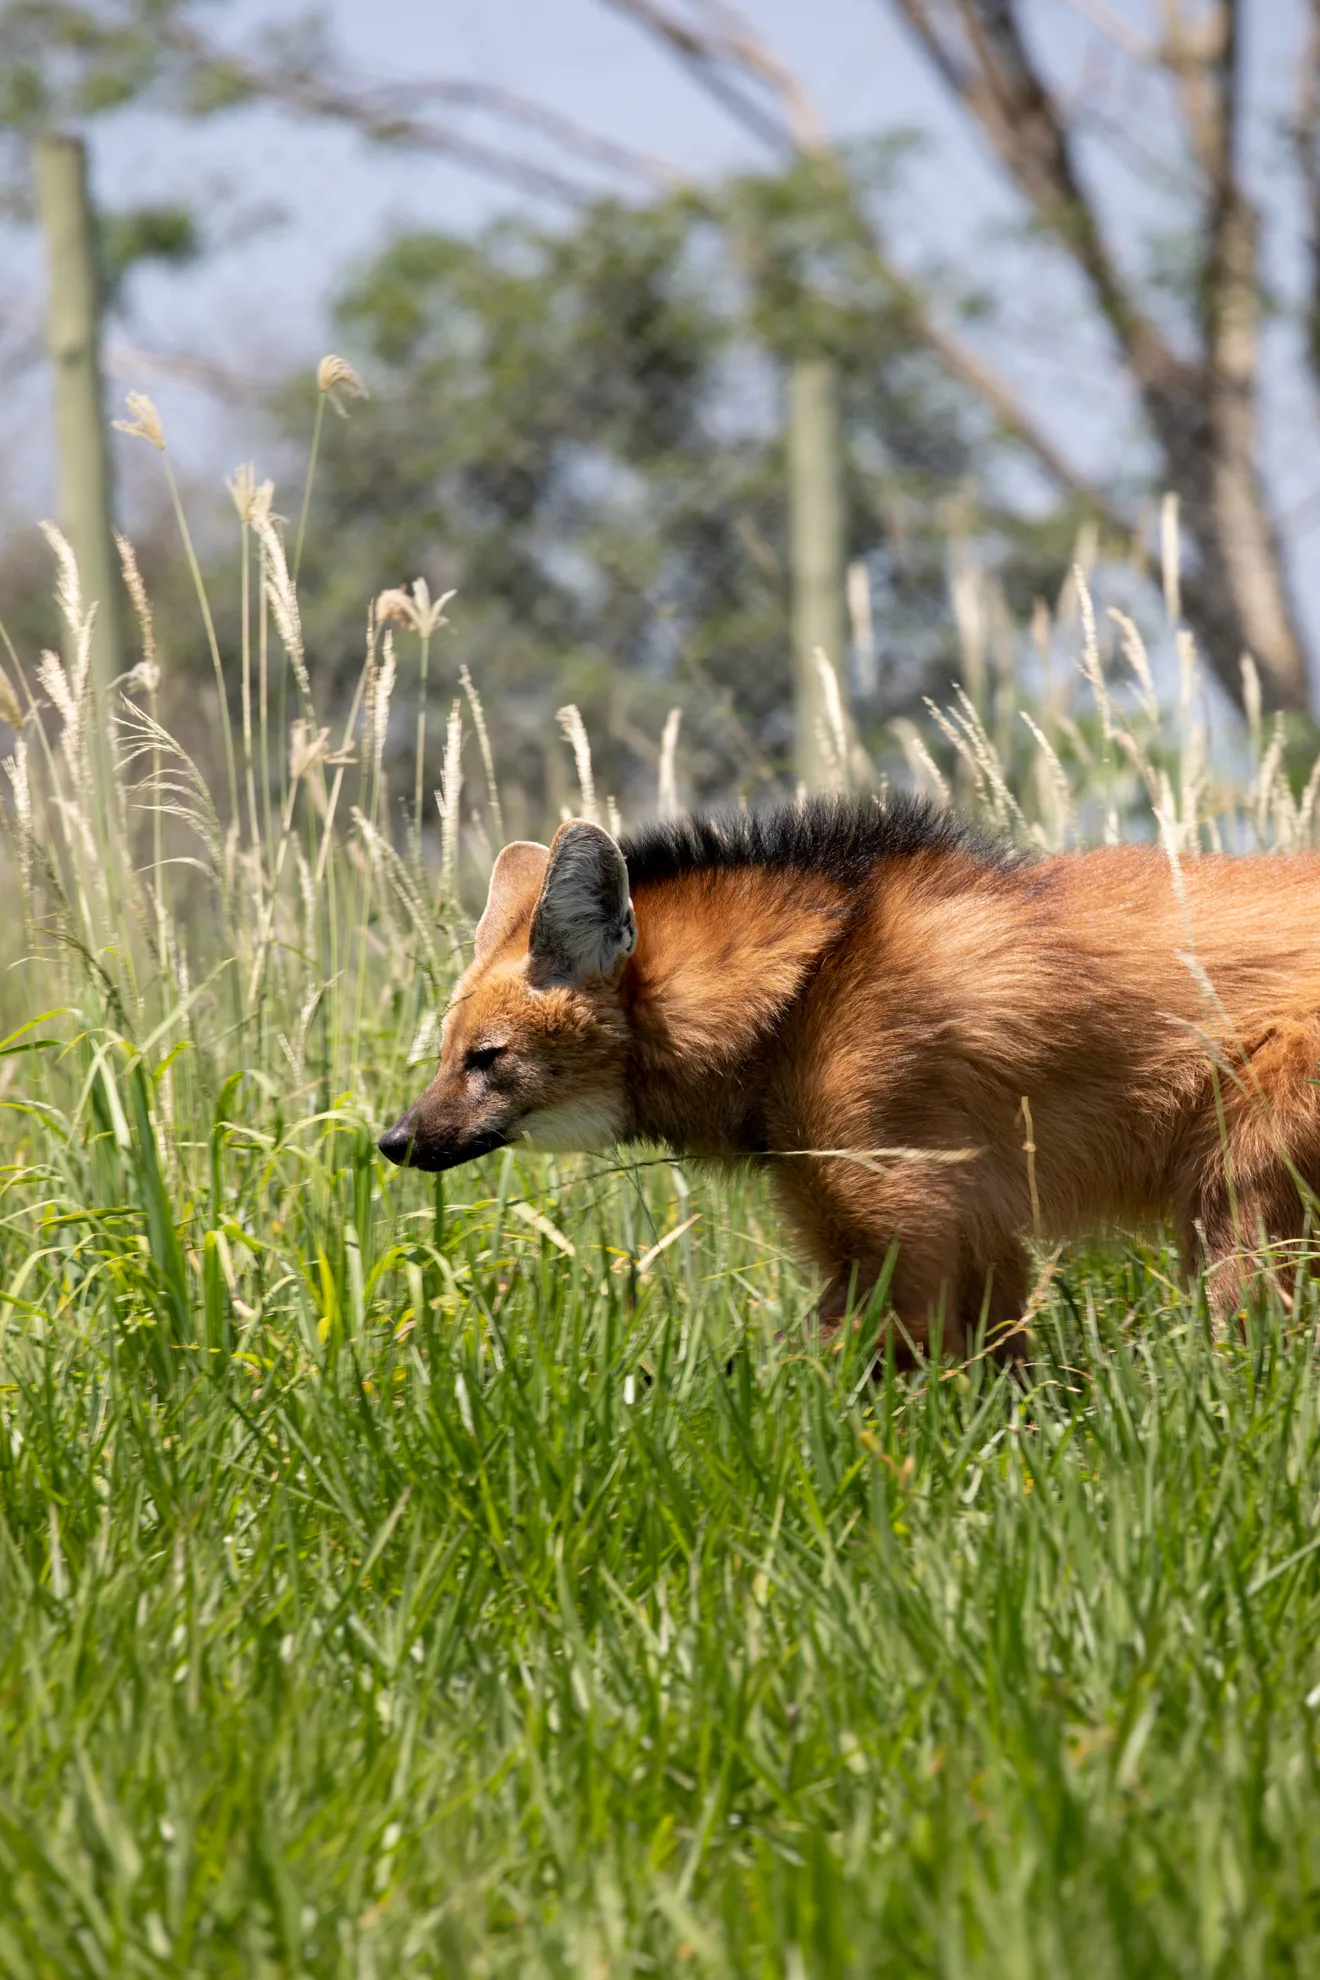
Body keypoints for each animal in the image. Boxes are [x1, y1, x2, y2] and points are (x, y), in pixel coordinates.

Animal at [378, 796, 1320, 1356]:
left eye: (487, 1058)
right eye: (445, 1055)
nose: (394, 1141)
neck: (798, 993)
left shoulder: (900, 1216)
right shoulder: (970, 1225)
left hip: (1238, 1179)